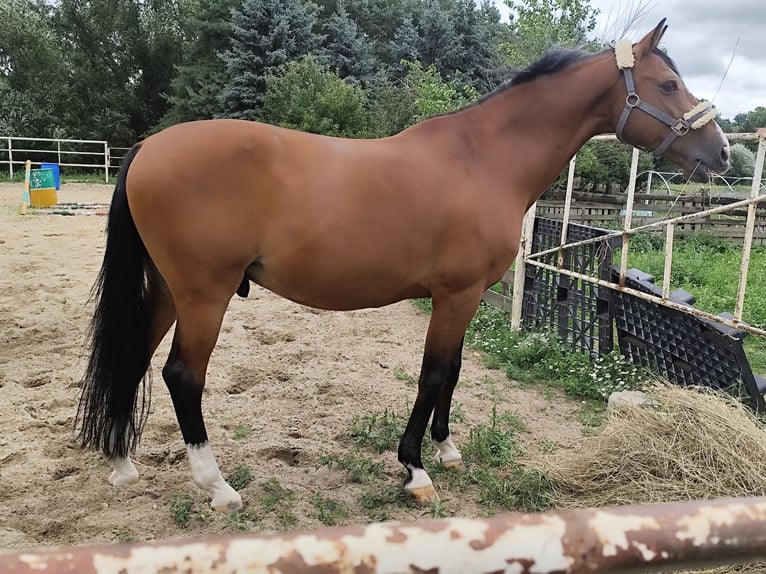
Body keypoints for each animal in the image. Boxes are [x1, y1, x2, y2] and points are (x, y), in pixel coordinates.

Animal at [76, 20, 730, 511]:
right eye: (668, 83)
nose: (722, 153)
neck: (483, 159)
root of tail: (149, 147)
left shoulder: (465, 296)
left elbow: (455, 371)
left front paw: (446, 449)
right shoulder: (455, 293)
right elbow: (434, 374)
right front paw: (415, 470)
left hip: (170, 291)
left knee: (132, 356)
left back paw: (122, 464)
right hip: (204, 296)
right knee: (182, 376)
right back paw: (217, 486)